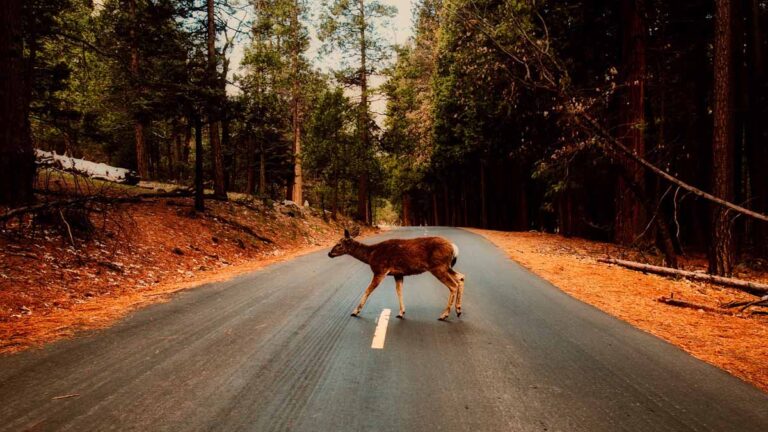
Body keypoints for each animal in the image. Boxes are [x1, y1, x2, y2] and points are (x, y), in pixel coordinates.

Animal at [328, 227, 465, 321]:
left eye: (339, 244)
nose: (329, 253)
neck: (371, 255)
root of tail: (454, 247)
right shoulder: (398, 274)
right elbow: (399, 291)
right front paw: (401, 312)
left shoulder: (380, 270)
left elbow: (368, 290)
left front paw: (355, 311)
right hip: (446, 266)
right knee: (461, 277)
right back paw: (458, 310)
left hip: (438, 266)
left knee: (453, 285)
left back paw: (444, 315)